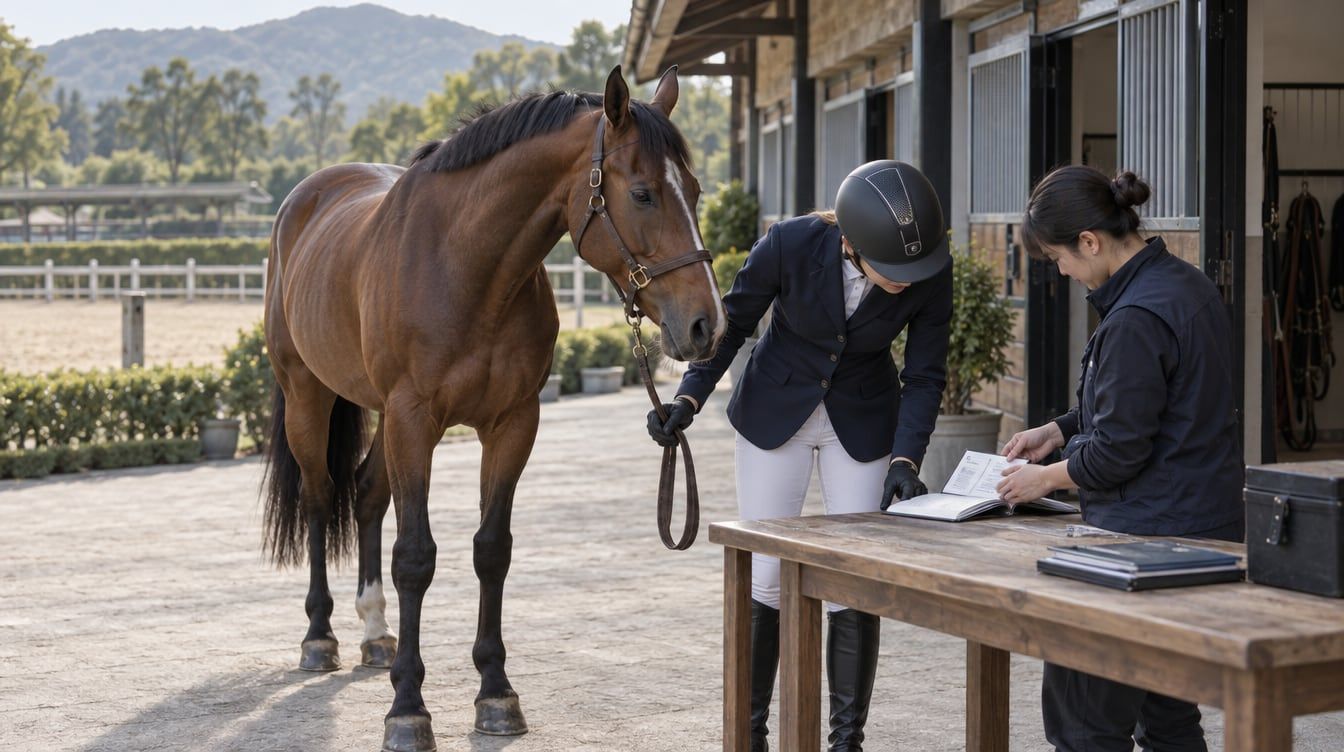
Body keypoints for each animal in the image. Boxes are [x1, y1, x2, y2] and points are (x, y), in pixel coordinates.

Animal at [261, 65, 725, 751]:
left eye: (693, 191)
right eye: (642, 194)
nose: (704, 324)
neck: (464, 267)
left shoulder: (511, 424)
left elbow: (492, 550)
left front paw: (496, 693)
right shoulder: (413, 420)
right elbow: (415, 558)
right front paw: (408, 709)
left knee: (367, 494)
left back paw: (375, 632)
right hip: (307, 394)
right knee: (321, 499)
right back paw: (320, 637)